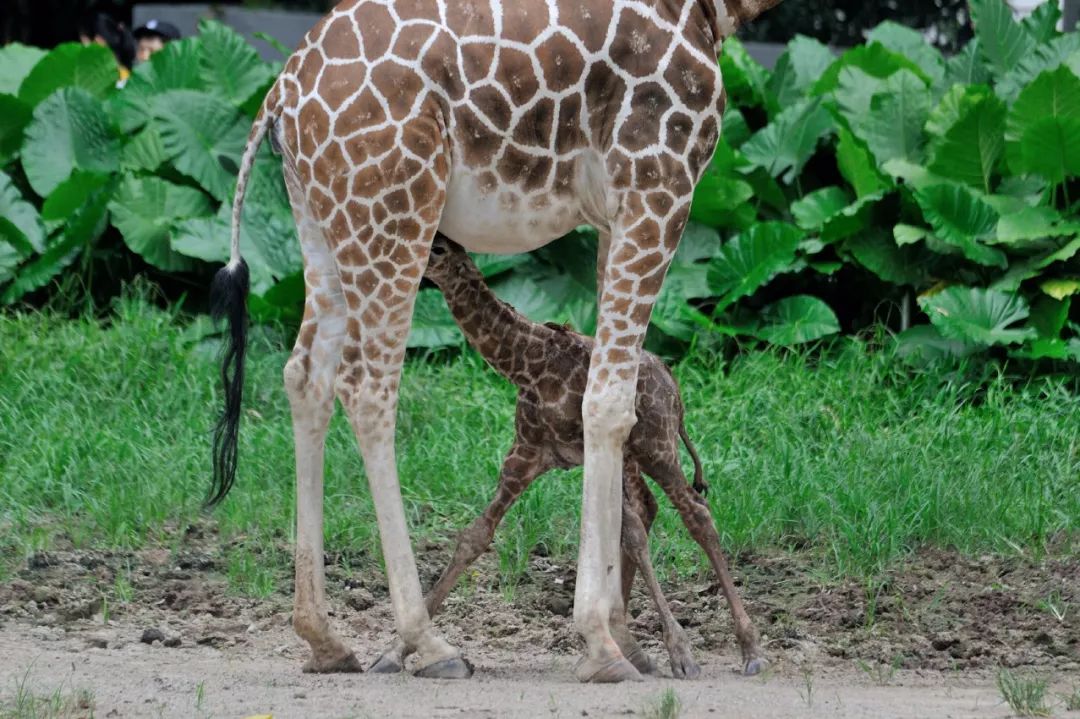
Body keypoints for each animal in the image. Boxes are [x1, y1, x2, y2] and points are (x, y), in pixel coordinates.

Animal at [371, 234, 768, 677]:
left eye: (438, 250)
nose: (399, 268)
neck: (527, 365)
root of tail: (675, 385)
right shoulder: (525, 453)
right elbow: (476, 536)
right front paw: (396, 653)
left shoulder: (588, 449)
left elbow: (628, 533)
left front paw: (677, 651)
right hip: (637, 456)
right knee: (651, 511)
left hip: (656, 445)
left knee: (695, 512)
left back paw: (750, 650)